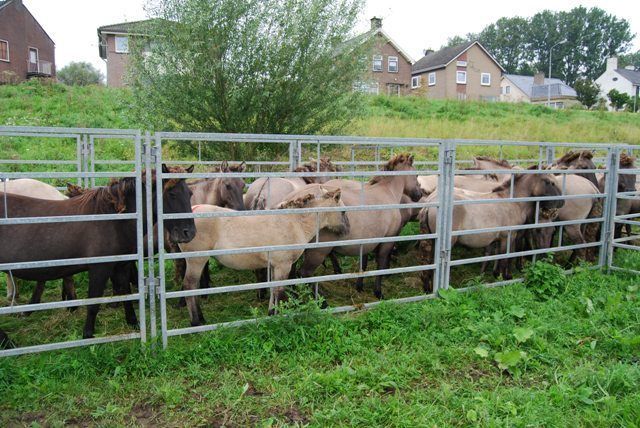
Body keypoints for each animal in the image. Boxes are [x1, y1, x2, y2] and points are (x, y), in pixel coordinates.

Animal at [0, 166, 195, 340]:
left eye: (190, 194)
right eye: (171, 194)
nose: (189, 233)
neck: (112, 219)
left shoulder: (121, 265)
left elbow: (126, 294)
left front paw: (134, 323)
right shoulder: (100, 268)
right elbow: (94, 302)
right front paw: (87, 335)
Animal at [176, 186, 350, 322]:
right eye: (342, 211)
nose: (346, 231)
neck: (293, 222)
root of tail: (194, 210)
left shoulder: (274, 266)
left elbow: (273, 289)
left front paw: (271, 312)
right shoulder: (283, 266)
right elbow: (279, 290)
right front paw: (277, 315)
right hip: (196, 261)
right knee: (190, 286)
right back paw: (197, 322)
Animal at [418, 171, 564, 294]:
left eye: (553, 232)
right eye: (550, 182)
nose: (562, 202)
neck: (512, 202)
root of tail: (430, 203)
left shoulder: (496, 239)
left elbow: (493, 256)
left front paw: (494, 275)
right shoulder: (508, 237)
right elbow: (505, 258)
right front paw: (504, 278)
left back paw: (427, 288)